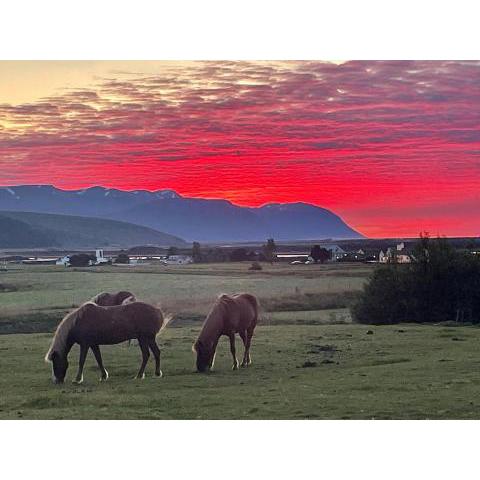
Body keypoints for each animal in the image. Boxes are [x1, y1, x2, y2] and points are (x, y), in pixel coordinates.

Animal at [43, 302, 171, 384]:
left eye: (55, 362)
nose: (57, 381)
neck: (78, 322)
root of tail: (158, 311)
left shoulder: (85, 344)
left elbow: (81, 361)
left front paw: (77, 379)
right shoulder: (93, 344)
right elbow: (99, 359)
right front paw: (104, 376)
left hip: (144, 338)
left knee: (146, 355)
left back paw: (139, 375)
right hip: (147, 339)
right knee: (155, 353)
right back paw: (157, 373)